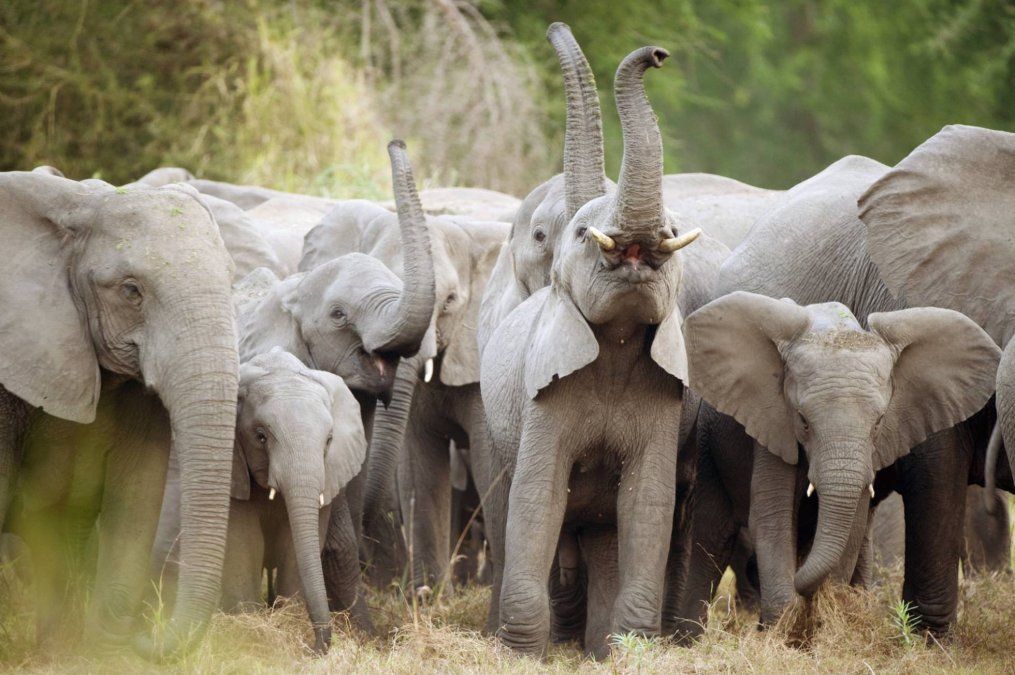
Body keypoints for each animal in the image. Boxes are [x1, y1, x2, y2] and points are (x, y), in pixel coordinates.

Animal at [479, 43, 705, 658]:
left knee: (606, 532)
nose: (658, 54)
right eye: (582, 235)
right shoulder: (542, 395)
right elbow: (538, 496)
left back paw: (601, 642)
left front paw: (631, 651)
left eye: (674, 228)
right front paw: (521, 654)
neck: (616, 342)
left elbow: (646, 504)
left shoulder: (665, 400)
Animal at [676, 292, 999, 636]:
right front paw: (783, 629)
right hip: (707, 445)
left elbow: (853, 523)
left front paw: (821, 619)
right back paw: (689, 638)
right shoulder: (773, 424)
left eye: (879, 423)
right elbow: (772, 516)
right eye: (803, 421)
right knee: (711, 536)